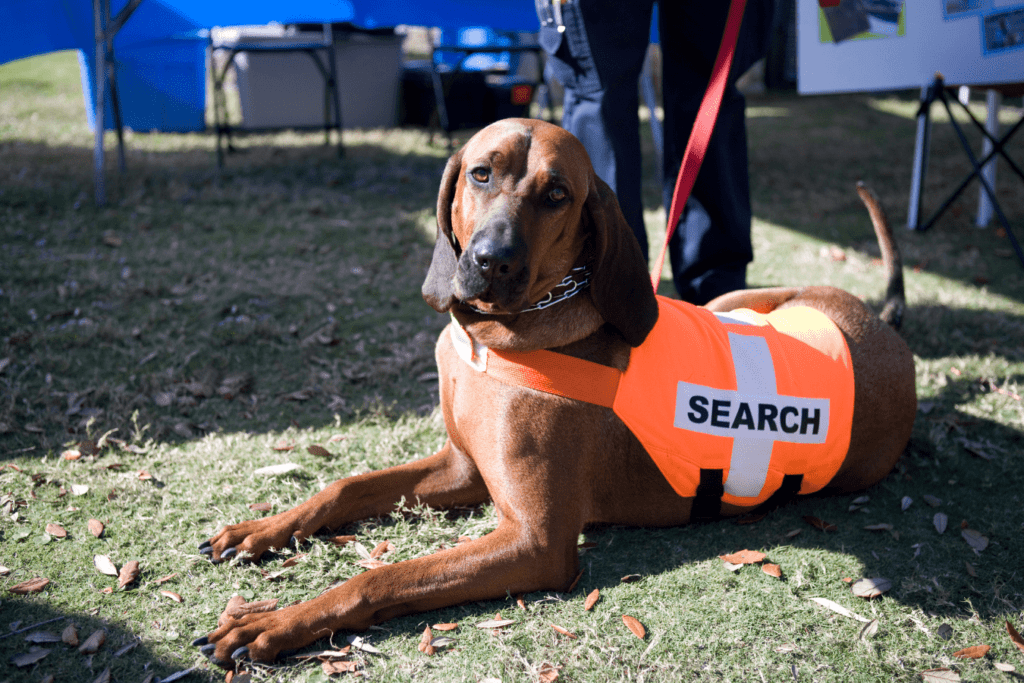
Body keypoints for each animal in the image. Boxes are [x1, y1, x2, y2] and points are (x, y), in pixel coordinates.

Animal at [195, 117, 917, 667]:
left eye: (558, 194)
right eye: (481, 174)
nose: (492, 261)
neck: (495, 338)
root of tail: (886, 327)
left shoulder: (535, 542)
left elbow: (385, 572)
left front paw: (275, 622)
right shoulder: (463, 468)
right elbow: (344, 487)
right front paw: (261, 530)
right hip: (733, 302)